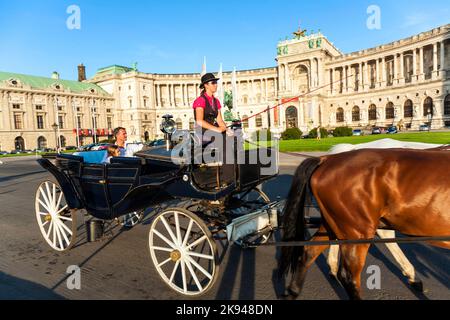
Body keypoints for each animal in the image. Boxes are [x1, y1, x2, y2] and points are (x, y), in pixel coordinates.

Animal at [280, 148, 448, 300]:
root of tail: (327, 159)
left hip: (334, 224)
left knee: (309, 252)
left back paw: (294, 291)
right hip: (357, 232)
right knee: (349, 277)